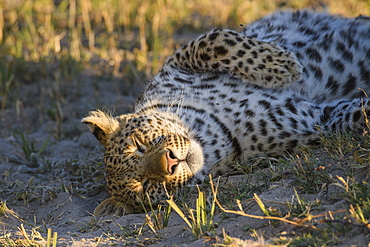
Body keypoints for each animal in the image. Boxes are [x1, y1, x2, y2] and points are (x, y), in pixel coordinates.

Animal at [81, 10, 370, 216]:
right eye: (145, 186)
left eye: (139, 145)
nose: (171, 162)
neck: (210, 132)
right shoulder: (317, 120)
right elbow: (356, 116)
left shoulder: (177, 61)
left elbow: (215, 41)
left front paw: (282, 66)